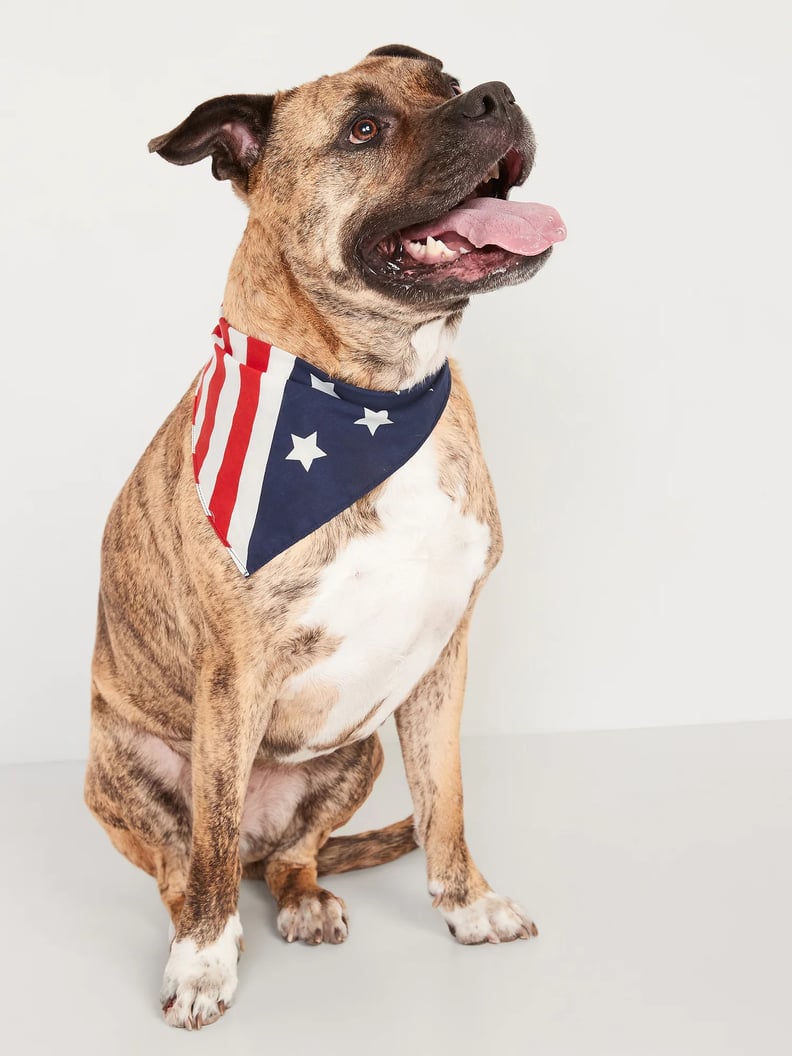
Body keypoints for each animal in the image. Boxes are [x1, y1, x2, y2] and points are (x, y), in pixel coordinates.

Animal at [85, 45, 566, 1026]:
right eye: (363, 128)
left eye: (445, 80)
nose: (494, 95)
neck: (379, 397)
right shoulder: (235, 675)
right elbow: (210, 838)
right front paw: (203, 965)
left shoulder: (445, 657)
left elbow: (446, 801)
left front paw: (468, 908)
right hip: (122, 769)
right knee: (191, 865)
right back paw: (209, 930)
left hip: (357, 750)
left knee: (290, 856)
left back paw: (304, 899)